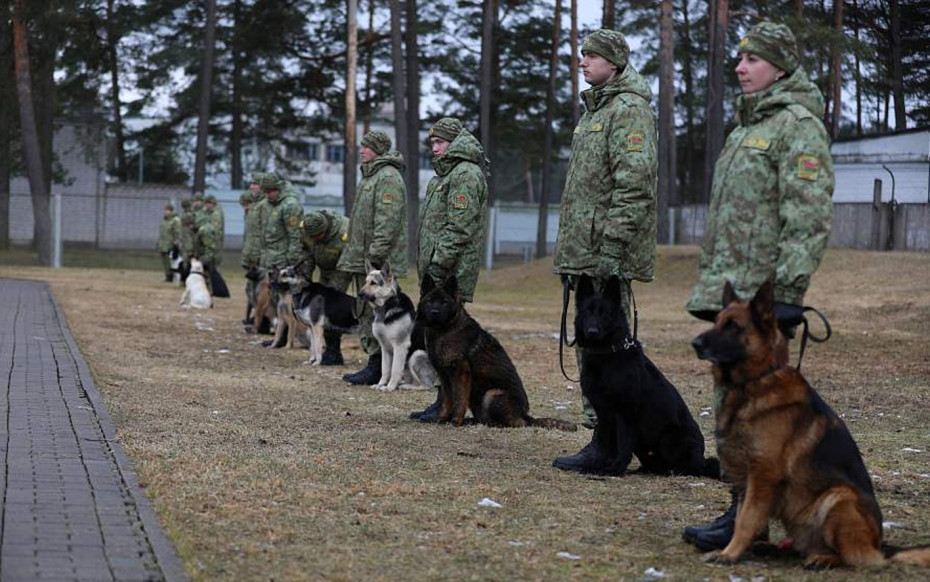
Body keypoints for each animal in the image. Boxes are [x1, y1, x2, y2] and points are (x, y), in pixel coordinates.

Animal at [358, 264, 438, 392]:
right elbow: (385, 370)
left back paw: (407, 386)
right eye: (366, 282)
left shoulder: (400, 346)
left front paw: (389, 387)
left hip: (416, 355)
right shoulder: (385, 348)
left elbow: (394, 370)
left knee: (428, 385)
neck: (385, 308)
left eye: (373, 283)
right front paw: (380, 385)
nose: (359, 294)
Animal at [416, 276, 572, 432]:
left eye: (444, 302)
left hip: (491, 394)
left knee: (515, 423)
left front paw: (456, 421)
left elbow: (459, 400)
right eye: (429, 301)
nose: (434, 312)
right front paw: (441, 419)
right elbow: (447, 401)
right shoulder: (444, 377)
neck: (444, 330)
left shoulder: (461, 374)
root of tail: (526, 415)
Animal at [688, 282, 928, 572]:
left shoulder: (762, 475)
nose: (695, 343)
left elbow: (746, 520)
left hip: (839, 497)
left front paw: (729, 554)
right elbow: (741, 518)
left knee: (856, 557)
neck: (753, 382)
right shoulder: (746, 479)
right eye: (716, 322)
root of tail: (879, 544)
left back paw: (823, 558)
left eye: (734, 326)